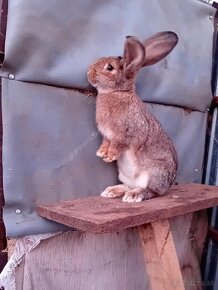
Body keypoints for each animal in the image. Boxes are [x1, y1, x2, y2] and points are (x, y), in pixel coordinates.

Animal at [87, 31, 179, 203]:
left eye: (110, 67)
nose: (88, 72)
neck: (118, 92)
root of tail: (168, 185)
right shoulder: (107, 134)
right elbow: (106, 142)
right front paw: (101, 153)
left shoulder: (128, 132)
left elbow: (118, 144)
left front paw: (110, 156)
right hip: (124, 175)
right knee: (128, 186)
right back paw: (112, 191)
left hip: (154, 174)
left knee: (151, 191)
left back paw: (134, 195)